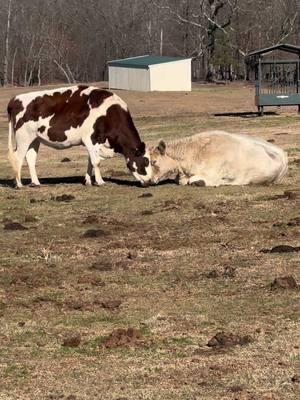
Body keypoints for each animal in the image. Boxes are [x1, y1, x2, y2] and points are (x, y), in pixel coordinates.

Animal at [7, 85, 152, 188]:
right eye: (146, 161)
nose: (151, 181)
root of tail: (15, 99)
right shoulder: (91, 138)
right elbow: (96, 161)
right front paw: (100, 181)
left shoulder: (93, 142)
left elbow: (90, 161)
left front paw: (88, 181)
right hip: (23, 137)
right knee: (18, 157)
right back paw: (19, 184)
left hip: (35, 139)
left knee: (30, 158)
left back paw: (36, 183)